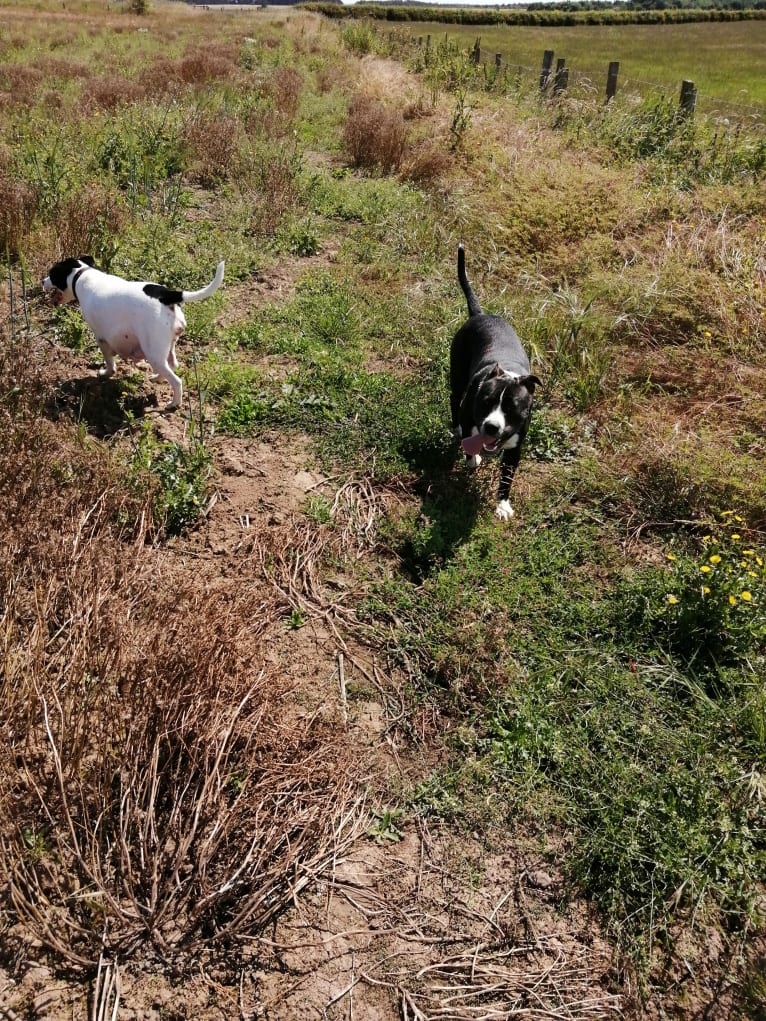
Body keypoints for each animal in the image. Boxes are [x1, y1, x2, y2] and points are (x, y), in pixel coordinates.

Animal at [42, 255, 224, 410]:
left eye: (51, 274)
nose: (43, 281)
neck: (82, 274)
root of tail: (167, 295)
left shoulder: (101, 338)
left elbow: (109, 361)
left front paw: (107, 373)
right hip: (166, 347)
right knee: (172, 365)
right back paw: (157, 378)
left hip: (153, 352)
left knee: (176, 381)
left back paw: (174, 404)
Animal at [449, 242, 539, 522]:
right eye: (485, 402)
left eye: (512, 408)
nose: (491, 426)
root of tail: (479, 314)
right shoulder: (470, 418)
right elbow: (469, 447)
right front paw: (472, 460)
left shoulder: (515, 448)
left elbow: (507, 478)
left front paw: (502, 505)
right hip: (457, 378)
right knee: (453, 400)